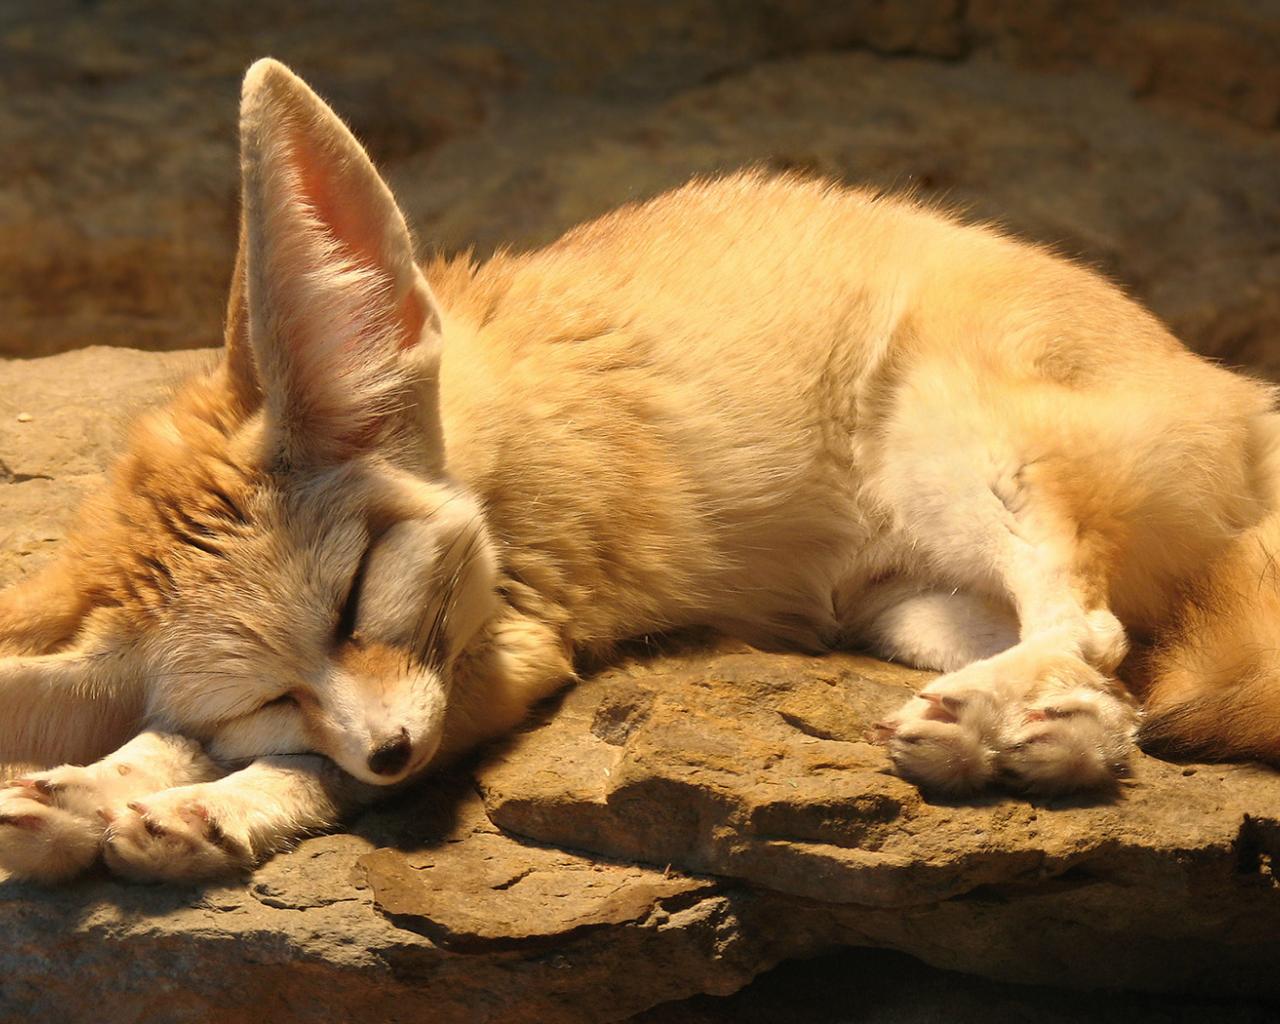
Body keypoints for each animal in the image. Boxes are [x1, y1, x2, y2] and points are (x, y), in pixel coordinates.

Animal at [1, 58, 1278, 885]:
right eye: (265, 689)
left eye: (361, 596)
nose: (393, 746)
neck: (471, 436)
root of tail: (1238, 389)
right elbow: (187, 735)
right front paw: (84, 789)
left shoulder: (506, 651)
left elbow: (314, 773)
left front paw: (206, 805)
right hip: (900, 605)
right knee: (1121, 685)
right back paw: (1022, 739)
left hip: (962, 454)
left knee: (1093, 633)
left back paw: (991, 719)